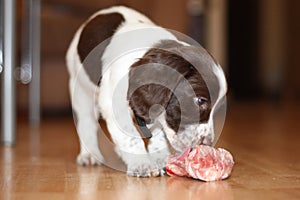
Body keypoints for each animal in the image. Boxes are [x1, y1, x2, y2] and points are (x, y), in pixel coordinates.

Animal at [65, 5, 225, 177]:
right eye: (200, 101)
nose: (207, 145)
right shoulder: (114, 107)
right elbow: (130, 137)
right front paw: (141, 164)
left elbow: (158, 134)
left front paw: (159, 159)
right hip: (80, 90)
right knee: (86, 122)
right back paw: (89, 155)